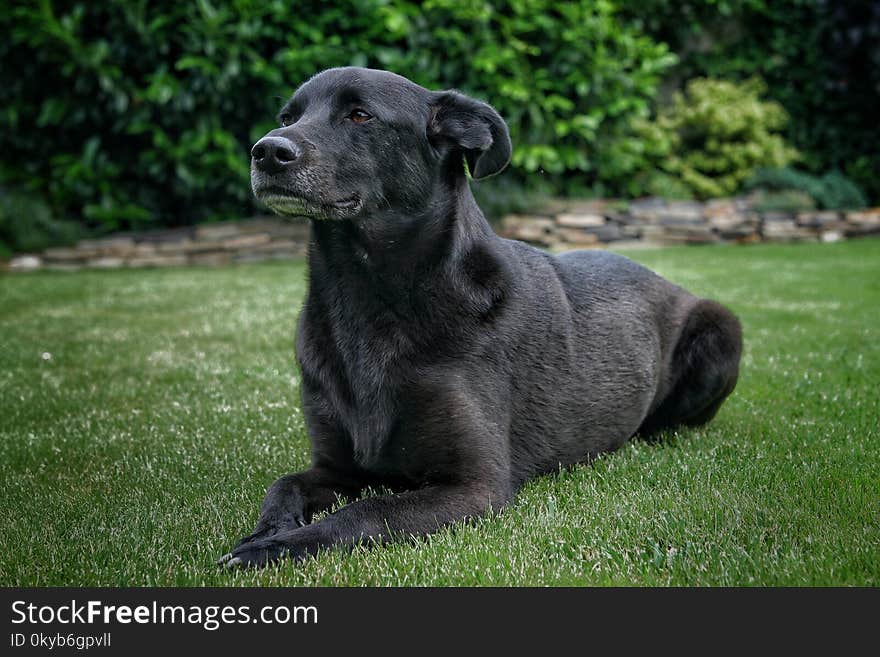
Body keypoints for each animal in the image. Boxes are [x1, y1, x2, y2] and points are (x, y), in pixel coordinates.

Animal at [217, 68, 740, 568]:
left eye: (360, 115)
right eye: (288, 117)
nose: (266, 152)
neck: (370, 297)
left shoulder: (475, 487)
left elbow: (367, 512)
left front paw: (274, 549)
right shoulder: (335, 469)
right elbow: (283, 485)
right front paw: (267, 532)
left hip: (722, 326)